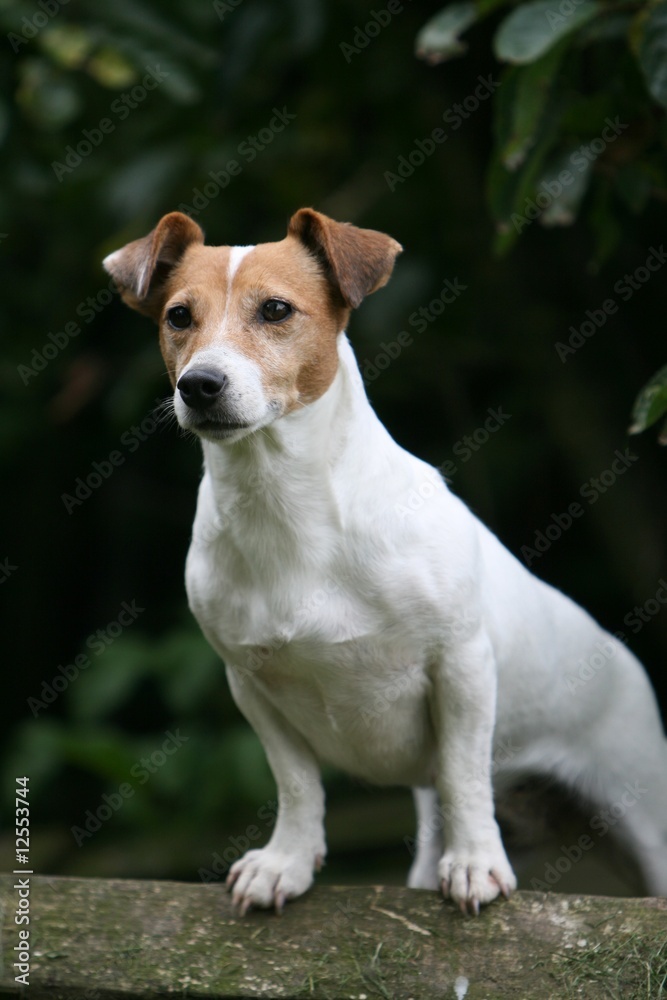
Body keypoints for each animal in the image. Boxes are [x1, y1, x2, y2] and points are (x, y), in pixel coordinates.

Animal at [102, 209, 664, 916]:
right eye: (178, 316)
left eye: (276, 309)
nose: (199, 385)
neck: (287, 511)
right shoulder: (251, 685)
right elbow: (297, 782)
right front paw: (286, 862)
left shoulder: (461, 665)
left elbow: (463, 773)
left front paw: (476, 861)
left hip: (644, 819)